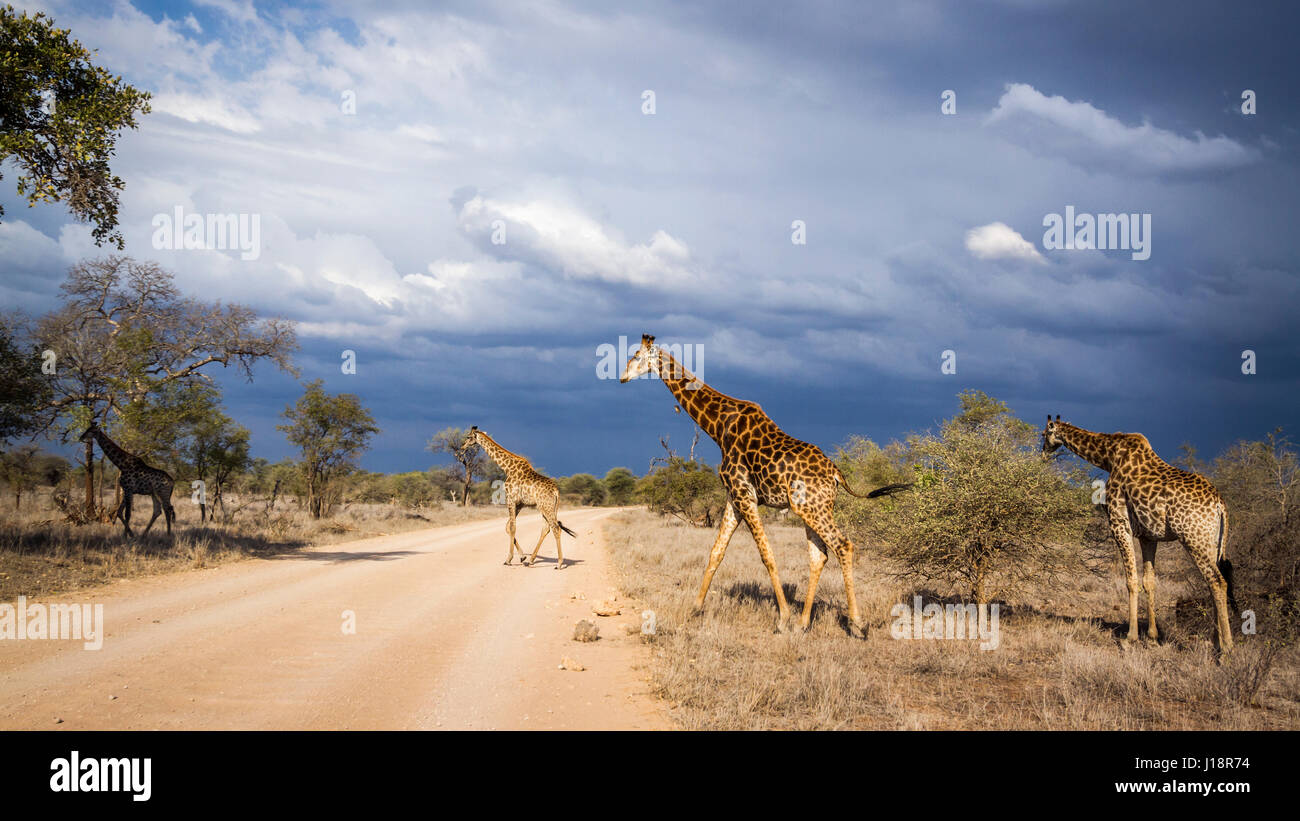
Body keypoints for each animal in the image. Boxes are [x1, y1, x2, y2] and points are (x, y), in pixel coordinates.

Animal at [462, 426, 574, 566]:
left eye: (468, 437)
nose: (462, 447)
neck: (507, 468)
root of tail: (556, 491)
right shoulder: (520, 504)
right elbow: (508, 527)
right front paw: (522, 557)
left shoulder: (511, 499)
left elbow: (512, 527)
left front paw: (508, 559)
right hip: (547, 507)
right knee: (546, 528)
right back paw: (531, 560)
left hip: (546, 507)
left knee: (556, 528)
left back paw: (559, 563)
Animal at [621, 332, 909, 633]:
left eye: (636, 356)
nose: (622, 377)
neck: (718, 428)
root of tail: (836, 473)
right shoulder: (734, 497)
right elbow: (716, 552)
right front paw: (695, 609)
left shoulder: (744, 495)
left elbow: (766, 554)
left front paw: (782, 618)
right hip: (811, 509)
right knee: (819, 555)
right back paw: (804, 623)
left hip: (812, 508)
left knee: (843, 545)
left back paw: (856, 623)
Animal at [1034, 415, 1237, 654]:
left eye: (1044, 434)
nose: (1043, 454)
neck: (1108, 457)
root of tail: (1220, 505)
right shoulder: (1148, 536)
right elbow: (1149, 581)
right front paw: (1152, 636)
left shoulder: (1119, 523)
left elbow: (1131, 580)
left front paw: (1130, 637)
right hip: (1212, 542)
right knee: (1213, 582)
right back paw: (1215, 641)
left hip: (1193, 539)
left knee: (1217, 581)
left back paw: (1226, 647)